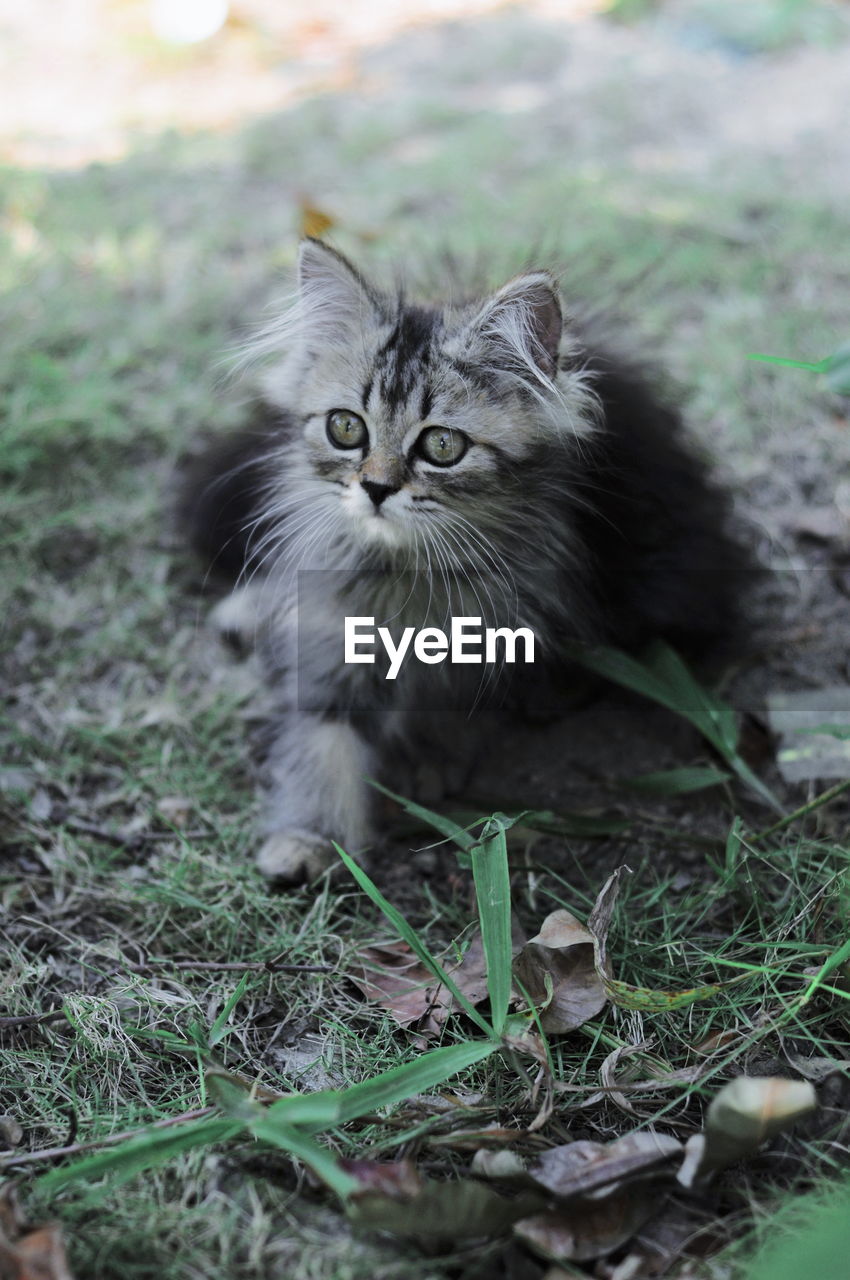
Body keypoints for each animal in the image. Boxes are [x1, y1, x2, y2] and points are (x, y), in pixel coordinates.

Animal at [183, 238, 747, 880]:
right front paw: (311, 836)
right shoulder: (331, 629)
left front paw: (426, 757)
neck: (403, 569)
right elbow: (320, 739)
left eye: (442, 445)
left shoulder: (504, 625)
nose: (375, 488)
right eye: (346, 428)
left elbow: (456, 698)